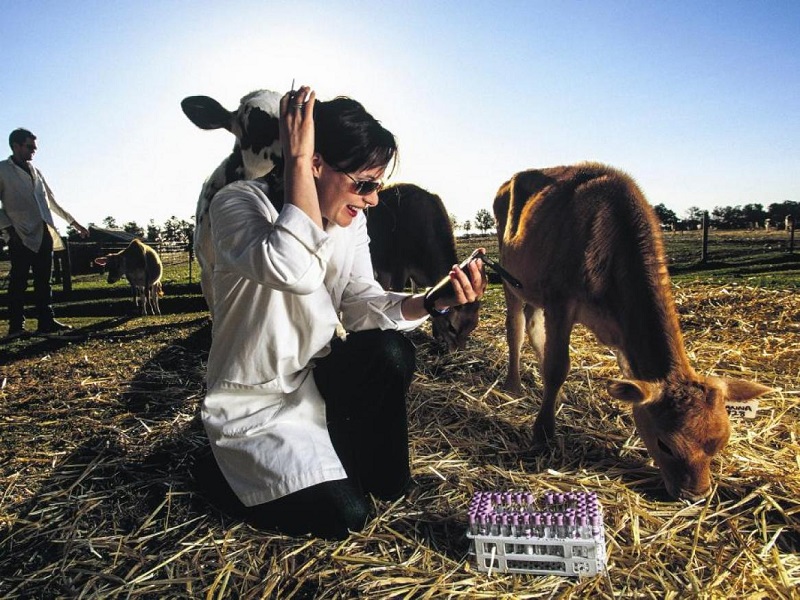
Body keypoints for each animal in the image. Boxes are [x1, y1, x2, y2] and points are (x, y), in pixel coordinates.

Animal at [494, 162, 768, 500]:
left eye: (720, 443)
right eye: (666, 445)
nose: (695, 495)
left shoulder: (620, 329)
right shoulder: (560, 301)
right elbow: (557, 367)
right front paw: (542, 432)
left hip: (531, 287)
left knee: (534, 327)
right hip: (509, 276)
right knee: (516, 328)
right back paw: (514, 384)